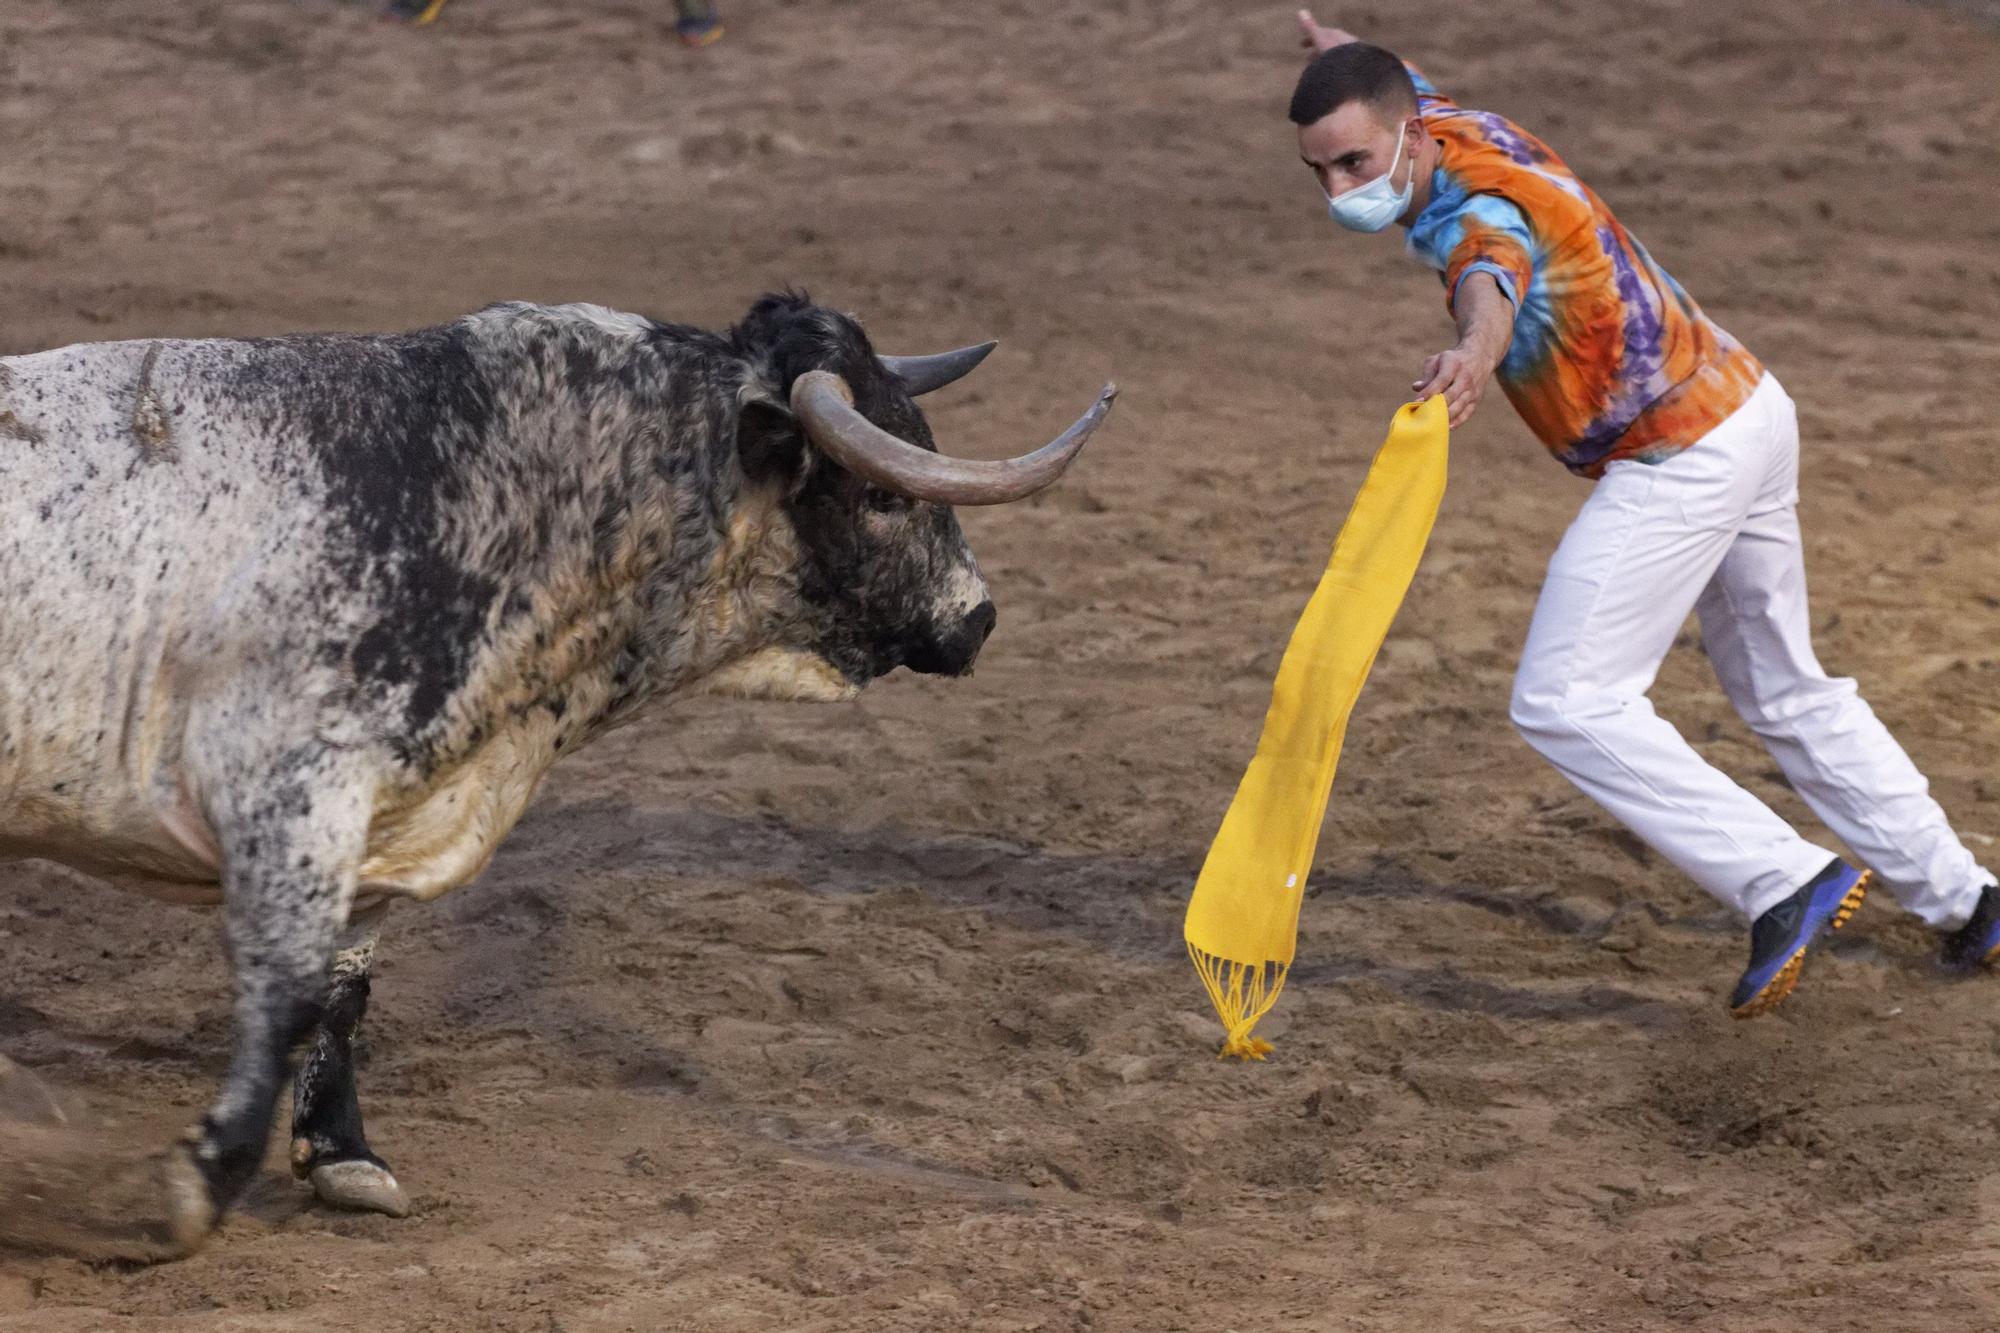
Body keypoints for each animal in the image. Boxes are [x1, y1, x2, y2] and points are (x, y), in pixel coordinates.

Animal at [0, 288, 1120, 1248]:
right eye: (883, 497)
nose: (976, 617)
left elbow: (342, 992)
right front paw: (200, 1179)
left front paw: (345, 1155)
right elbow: (286, 995)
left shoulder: (380, 816)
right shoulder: (291, 793)